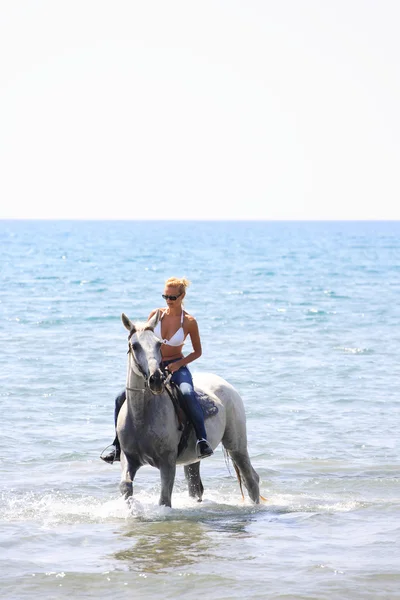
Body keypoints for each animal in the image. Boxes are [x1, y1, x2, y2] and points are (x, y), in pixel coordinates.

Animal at [117, 312, 260, 508]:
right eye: (135, 345)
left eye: (158, 344)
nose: (156, 379)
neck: (141, 417)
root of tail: (227, 386)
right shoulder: (129, 458)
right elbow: (125, 486)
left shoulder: (167, 463)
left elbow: (164, 500)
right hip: (193, 459)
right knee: (196, 487)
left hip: (236, 445)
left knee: (251, 478)